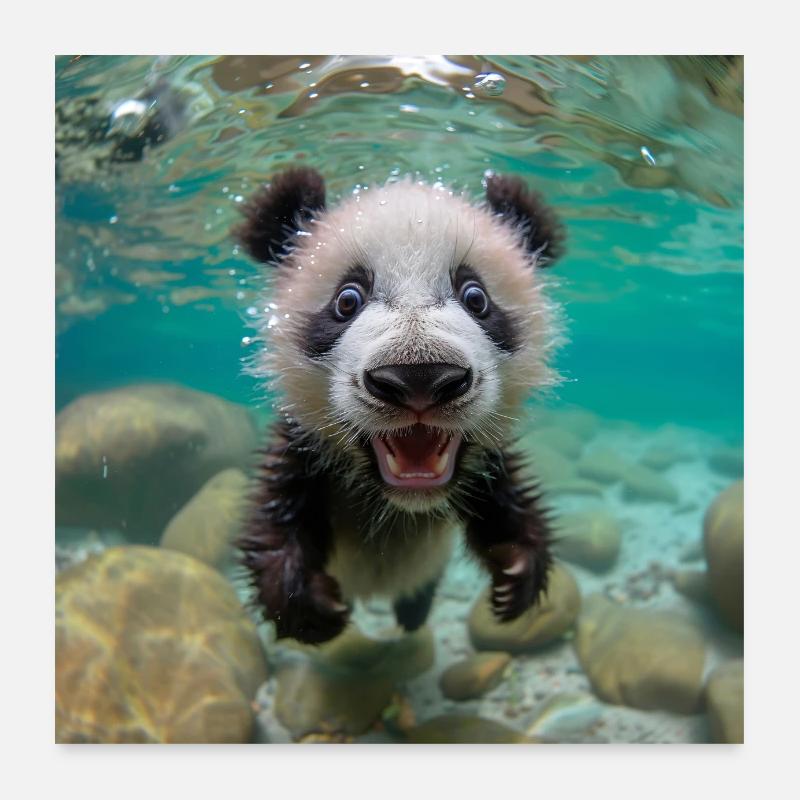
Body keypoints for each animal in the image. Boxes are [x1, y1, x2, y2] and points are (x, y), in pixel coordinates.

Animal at [234, 167, 565, 644]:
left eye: (476, 298)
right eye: (347, 300)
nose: (419, 378)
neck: (400, 503)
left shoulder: (489, 460)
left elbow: (512, 502)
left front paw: (517, 574)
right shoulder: (302, 447)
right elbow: (274, 519)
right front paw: (306, 605)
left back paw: (412, 612)